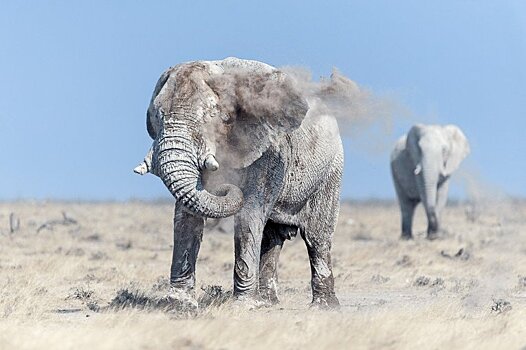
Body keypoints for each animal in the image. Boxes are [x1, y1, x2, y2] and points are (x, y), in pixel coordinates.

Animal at [134, 57, 344, 308]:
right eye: (158, 116)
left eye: (212, 116)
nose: (224, 186)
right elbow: (186, 216)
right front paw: (178, 304)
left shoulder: (269, 151)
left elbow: (249, 213)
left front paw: (243, 306)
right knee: (272, 237)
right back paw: (268, 303)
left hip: (332, 167)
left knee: (317, 237)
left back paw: (323, 307)